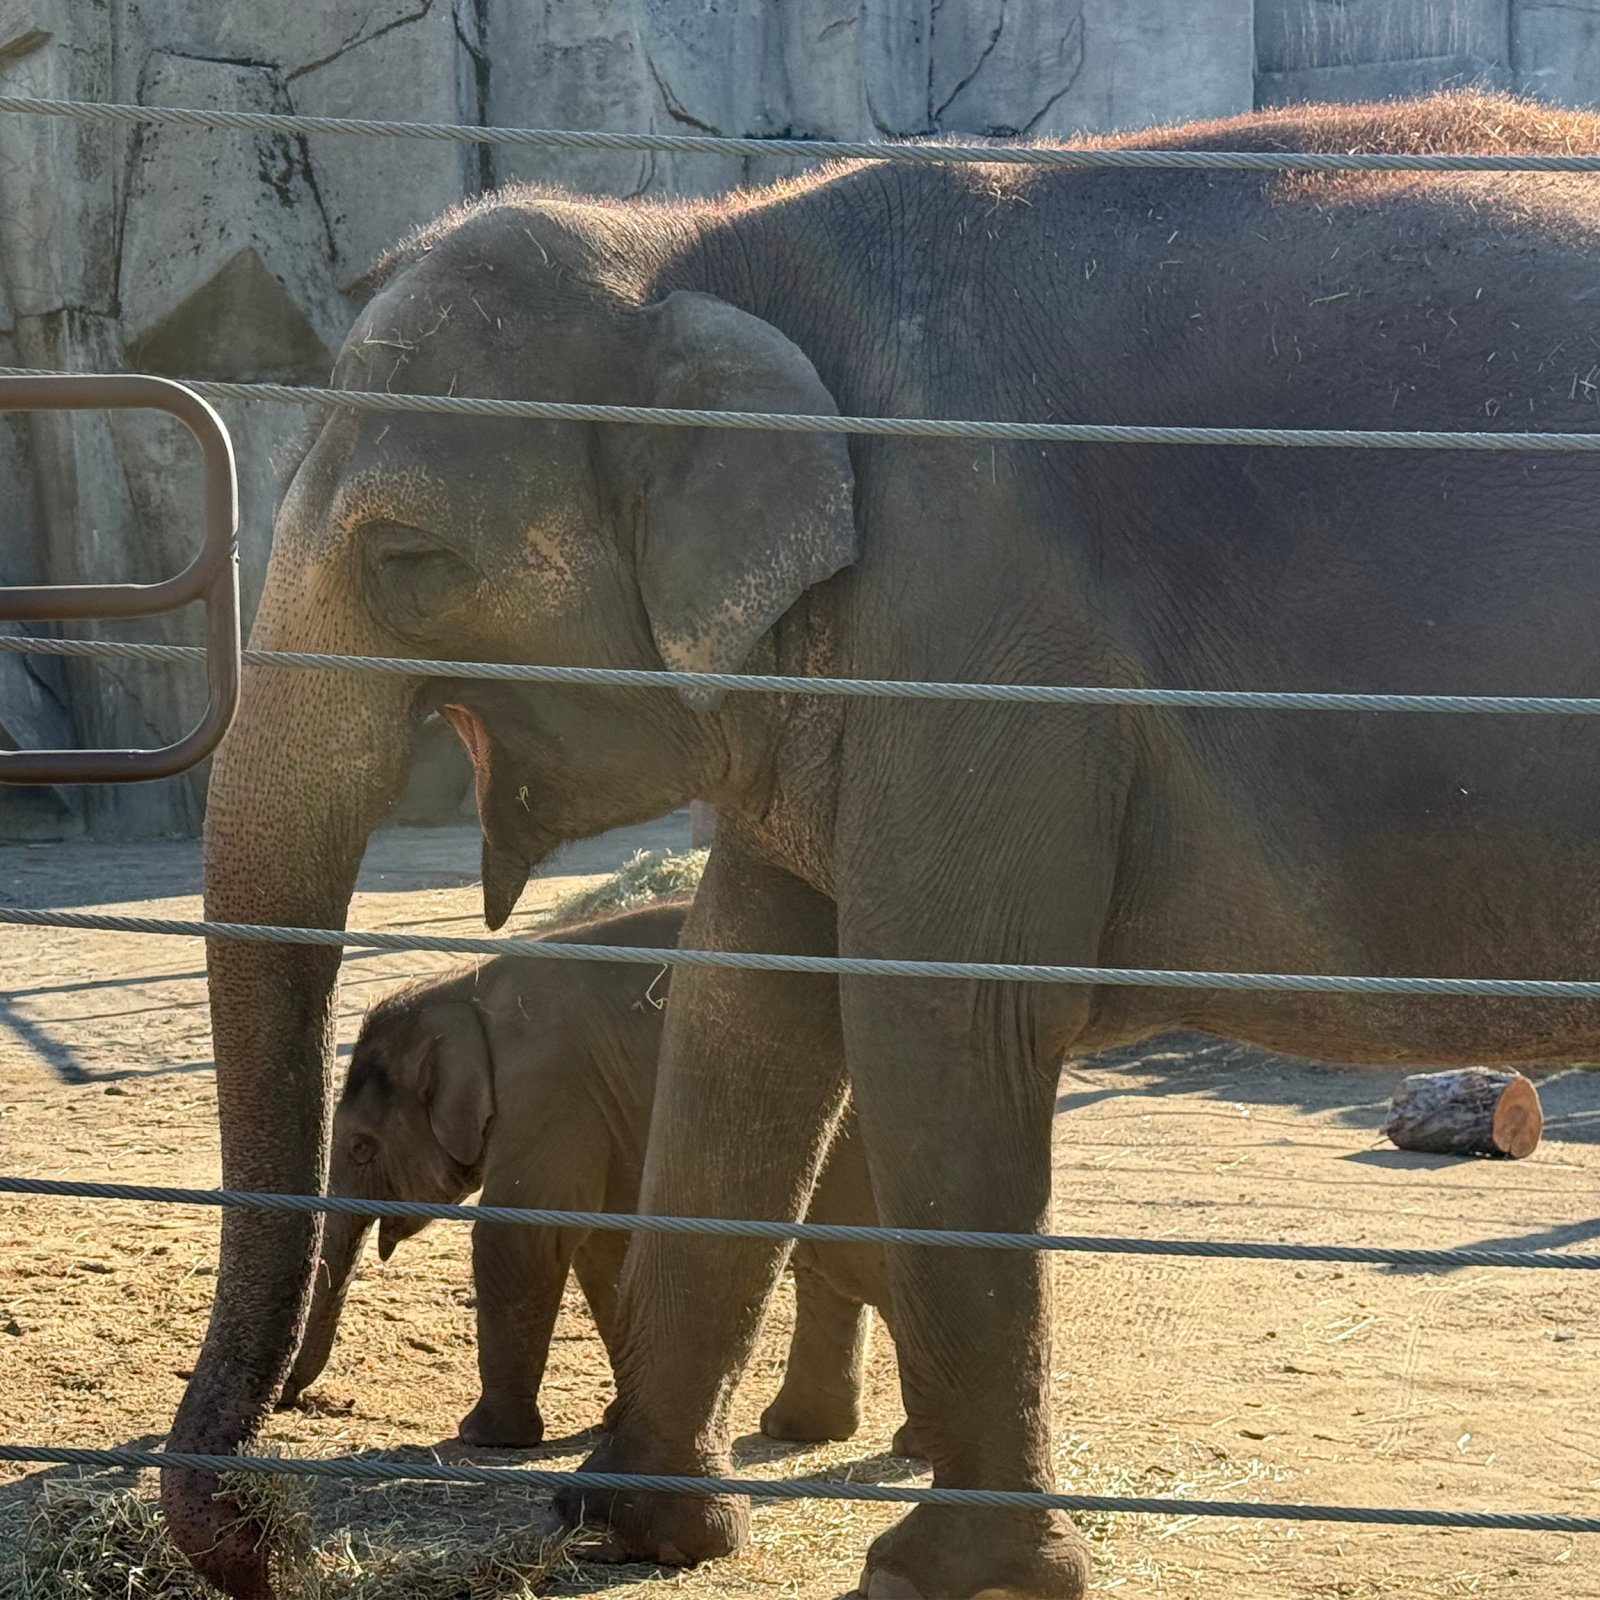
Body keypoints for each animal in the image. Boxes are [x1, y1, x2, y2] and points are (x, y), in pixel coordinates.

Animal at [279, 896, 903, 1452]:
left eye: (361, 1147)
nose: (293, 1401)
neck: (467, 991)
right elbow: (607, 1247)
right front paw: (615, 1419)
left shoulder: (550, 1088)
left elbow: (522, 1238)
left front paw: (483, 1438)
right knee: (828, 1261)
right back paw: (802, 1430)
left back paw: (907, 1444)